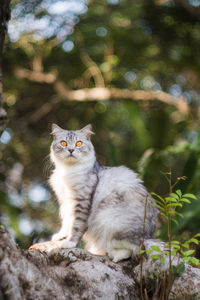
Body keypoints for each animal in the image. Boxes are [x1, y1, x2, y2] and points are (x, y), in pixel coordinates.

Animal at [49, 123, 157, 262]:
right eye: (63, 143)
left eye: (78, 143)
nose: (71, 150)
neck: (67, 171)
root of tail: (149, 236)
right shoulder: (65, 202)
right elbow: (67, 223)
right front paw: (61, 236)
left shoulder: (81, 202)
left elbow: (76, 225)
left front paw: (70, 243)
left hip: (109, 220)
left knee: (131, 249)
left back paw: (114, 255)